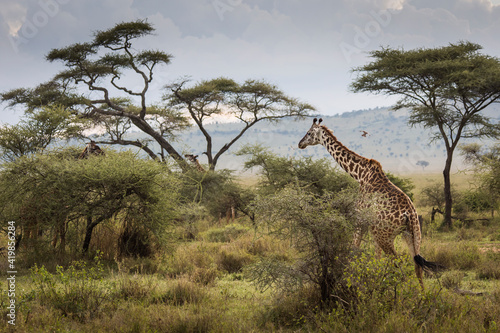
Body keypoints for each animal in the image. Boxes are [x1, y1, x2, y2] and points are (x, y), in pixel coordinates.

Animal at [298, 118, 440, 286]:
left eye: (309, 133)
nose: (300, 143)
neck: (359, 174)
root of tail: (409, 214)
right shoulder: (371, 227)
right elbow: (376, 258)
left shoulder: (360, 220)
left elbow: (354, 250)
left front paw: (350, 281)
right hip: (413, 234)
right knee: (417, 267)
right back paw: (420, 293)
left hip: (385, 236)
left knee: (398, 264)